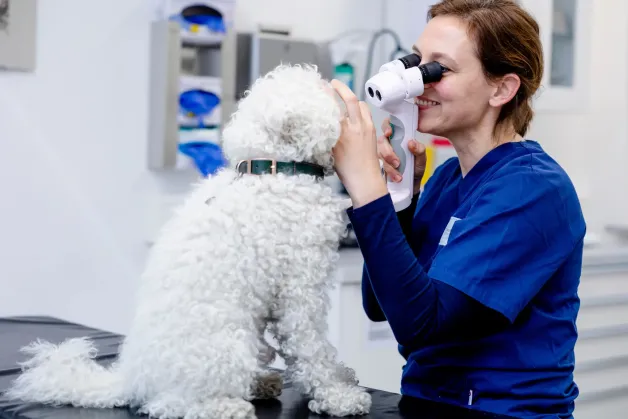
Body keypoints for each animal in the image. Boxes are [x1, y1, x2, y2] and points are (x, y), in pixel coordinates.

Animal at [4, 65, 372, 419]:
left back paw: (261, 383)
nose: (355, 94)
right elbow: (313, 349)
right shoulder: (299, 292)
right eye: (330, 91)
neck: (273, 169)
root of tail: (132, 378)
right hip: (228, 347)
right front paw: (338, 395)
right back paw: (224, 407)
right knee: (169, 404)